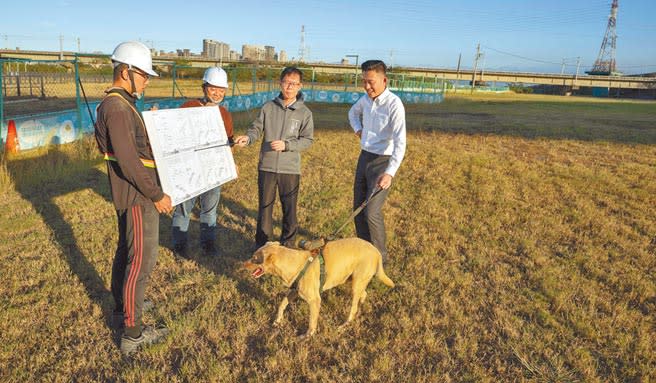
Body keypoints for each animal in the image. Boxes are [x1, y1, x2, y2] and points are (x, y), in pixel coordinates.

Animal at [242, 238, 392, 338]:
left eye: (254, 259)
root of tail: (377, 252)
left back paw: (344, 325)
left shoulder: (314, 301)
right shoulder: (294, 291)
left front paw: (307, 336)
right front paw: (277, 321)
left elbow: (311, 322)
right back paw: (361, 305)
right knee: (363, 294)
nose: (243, 265)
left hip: (355, 284)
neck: (294, 263)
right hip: (352, 280)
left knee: (353, 309)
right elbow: (282, 304)